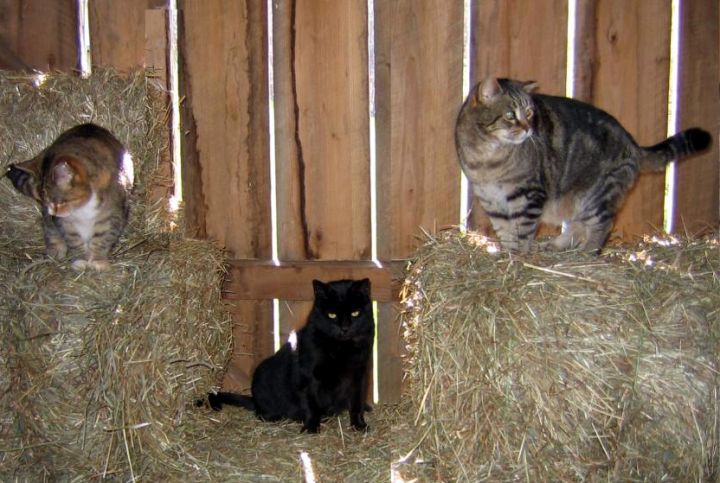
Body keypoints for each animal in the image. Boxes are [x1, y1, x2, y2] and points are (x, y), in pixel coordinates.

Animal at [5, 123, 134, 270]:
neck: (83, 208)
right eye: (43, 201)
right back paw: (55, 252)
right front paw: (81, 261)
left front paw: (98, 261)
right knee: (51, 233)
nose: (51, 213)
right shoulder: (65, 223)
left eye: (60, 202)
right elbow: (73, 240)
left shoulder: (112, 215)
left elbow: (103, 238)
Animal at [200, 280, 374, 434]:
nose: (345, 328)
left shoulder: (359, 375)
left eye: (355, 313)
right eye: (331, 315)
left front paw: (359, 425)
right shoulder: (308, 378)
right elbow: (312, 405)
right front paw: (311, 428)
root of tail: (254, 400)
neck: (341, 348)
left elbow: (356, 405)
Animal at [458, 78, 712, 253]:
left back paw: (588, 253)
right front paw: (507, 257)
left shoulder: (528, 194)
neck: (487, 158)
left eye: (529, 113)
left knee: (603, 224)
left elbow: (522, 231)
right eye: (510, 114)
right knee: (577, 226)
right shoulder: (491, 199)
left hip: (596, 196)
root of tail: (634, 145)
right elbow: (505, 231)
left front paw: (519, 257)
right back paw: (556, 246)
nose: (528, 129)